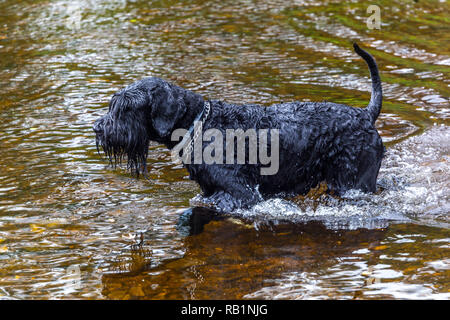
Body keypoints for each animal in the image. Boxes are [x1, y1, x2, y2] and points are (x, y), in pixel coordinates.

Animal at [94, 43, 384, 212]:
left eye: (125, 107)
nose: (98, 128)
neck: (198, 123)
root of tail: (365, 115)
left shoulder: (241, 193)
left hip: (353, 182)